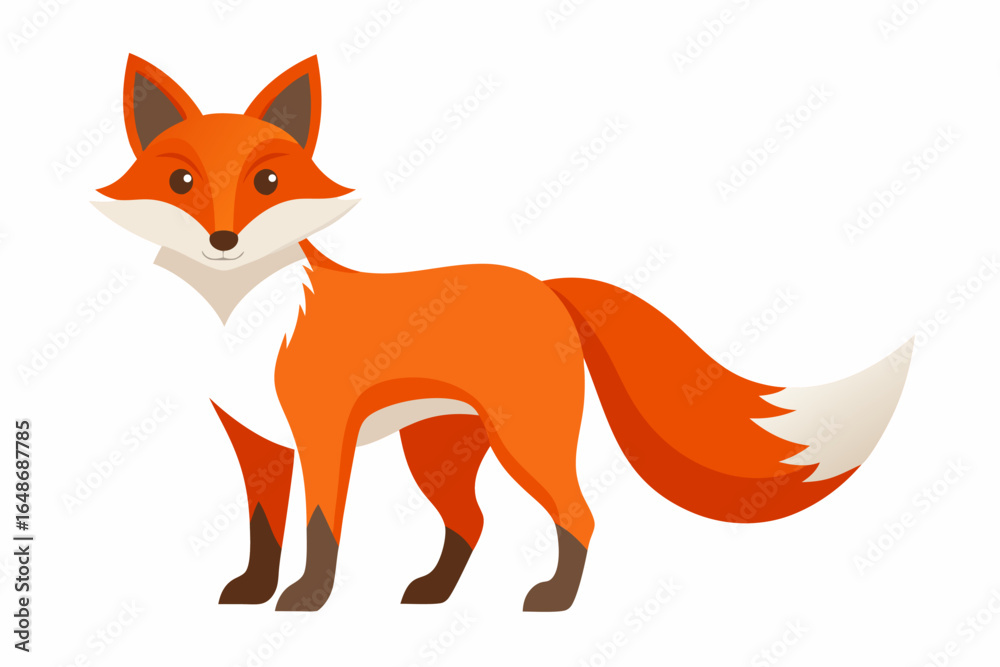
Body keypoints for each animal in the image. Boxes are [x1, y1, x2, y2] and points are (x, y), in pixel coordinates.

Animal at [94, 54, 913, 613]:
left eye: (267, 182)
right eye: (180, 182)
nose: (224, 240)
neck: (241, 319)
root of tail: (546, 286)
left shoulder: (320, 432)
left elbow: (322, 527)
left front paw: (306, 599)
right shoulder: (256, 439)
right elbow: (263, 528)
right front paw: (253, 590)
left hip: (527, 438)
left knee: (579, 514)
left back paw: (554, 599)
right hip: (439, 452)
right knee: (474, 521)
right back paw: (432, 591)